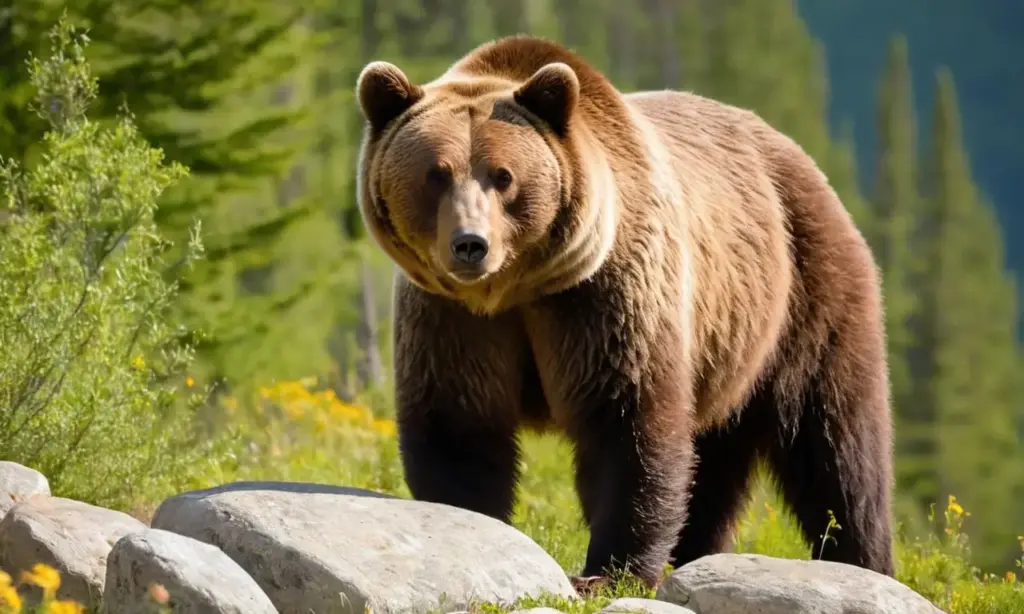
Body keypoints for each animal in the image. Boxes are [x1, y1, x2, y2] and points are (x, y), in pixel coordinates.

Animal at [354, 35, 895, 591]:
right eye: (435, 174)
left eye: (503, 176)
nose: (470, 245)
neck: (516, 290)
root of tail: (798, 155)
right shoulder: (453, 320)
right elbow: (459, 423)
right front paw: (474, 527)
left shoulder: (604, 299)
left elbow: (627, 422)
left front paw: (609, 571)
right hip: (728, 346)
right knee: (715, 463)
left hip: (804, 285)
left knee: (834, 443)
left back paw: (862, 559)